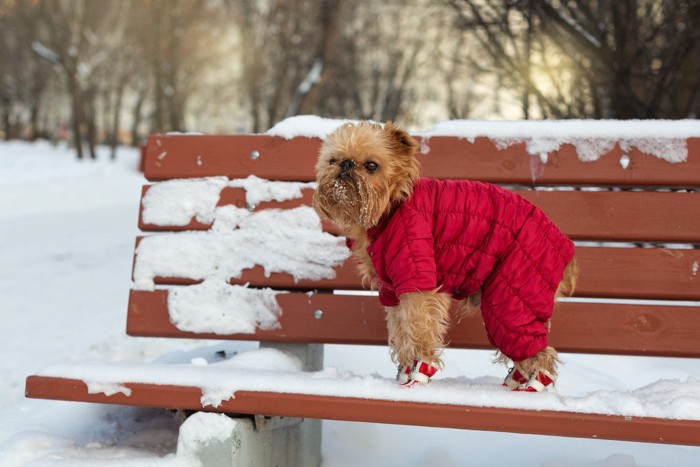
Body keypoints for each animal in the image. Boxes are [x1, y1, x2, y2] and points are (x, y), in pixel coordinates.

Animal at [314, 122, 576, 394]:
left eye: (371, 166)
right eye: (332, 160)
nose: (346, 164)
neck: (391, 206)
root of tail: (563, 243)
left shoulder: (417, 281)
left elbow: (418, 327)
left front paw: (418, 373)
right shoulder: (392, 291)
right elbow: (400, 329)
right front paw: (405, 370)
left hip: (513, 296)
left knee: (539, 349)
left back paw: (535, 383)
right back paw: (516, 380)